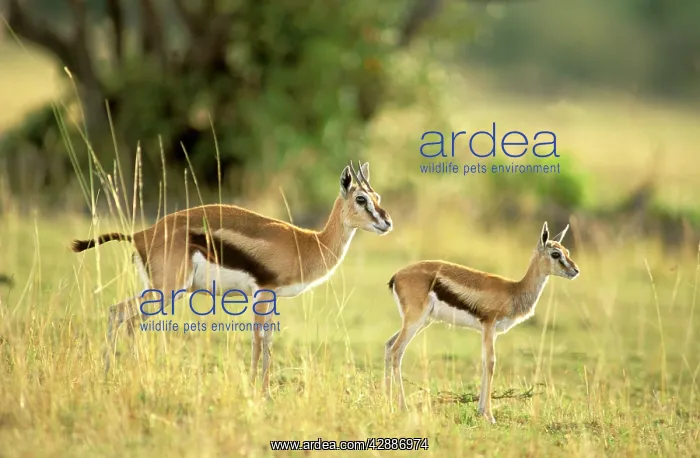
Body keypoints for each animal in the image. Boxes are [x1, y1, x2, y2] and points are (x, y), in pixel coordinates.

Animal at [70, 161, 392, 397]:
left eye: (377, 198)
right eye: (361, 199)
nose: (387, 223)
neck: (307, 243)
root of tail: (140, 235)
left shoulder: (269, 298)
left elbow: (265, 340)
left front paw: (261, 390)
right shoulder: (263, 293)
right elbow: (259, 341)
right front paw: (259, 392)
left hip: (158, 291)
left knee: (122, 316)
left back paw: (114, 376)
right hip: (167, 291)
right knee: (123, 315)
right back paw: (118, 375)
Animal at [384, 222, 579, 423]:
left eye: (567, 251)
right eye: (555, 254)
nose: (575, 271)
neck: (513, 291)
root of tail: (397, 276)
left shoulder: (491, 331)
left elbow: (485, 362)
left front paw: (480, 411)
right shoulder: (488, 325)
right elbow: (491, 362)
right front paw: (490, 416)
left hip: (422, 322)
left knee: (389, 345)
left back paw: (388, 404)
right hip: (415, 320)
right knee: (396, 351)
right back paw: (403, 407)